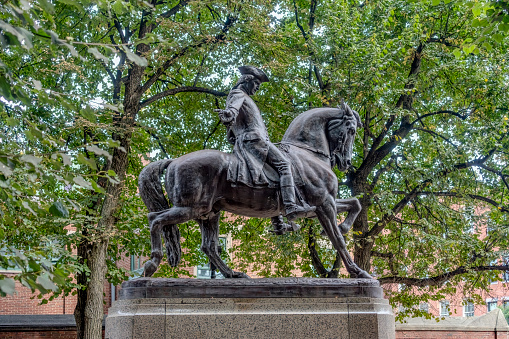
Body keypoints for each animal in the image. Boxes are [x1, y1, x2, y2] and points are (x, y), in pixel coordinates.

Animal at [137, 101, 372, 282]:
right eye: (351, 130)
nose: (346, 162)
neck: (307, 153)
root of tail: (173, 161)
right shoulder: (324, 204)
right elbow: (338, 240)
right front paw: (358, 271)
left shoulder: (320, 205)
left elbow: (355, 204)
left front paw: (344, 226)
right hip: (190, 208)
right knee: (155, 219)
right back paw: (151, 264)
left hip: (209, 213)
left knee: (208, 246)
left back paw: (233, 274)